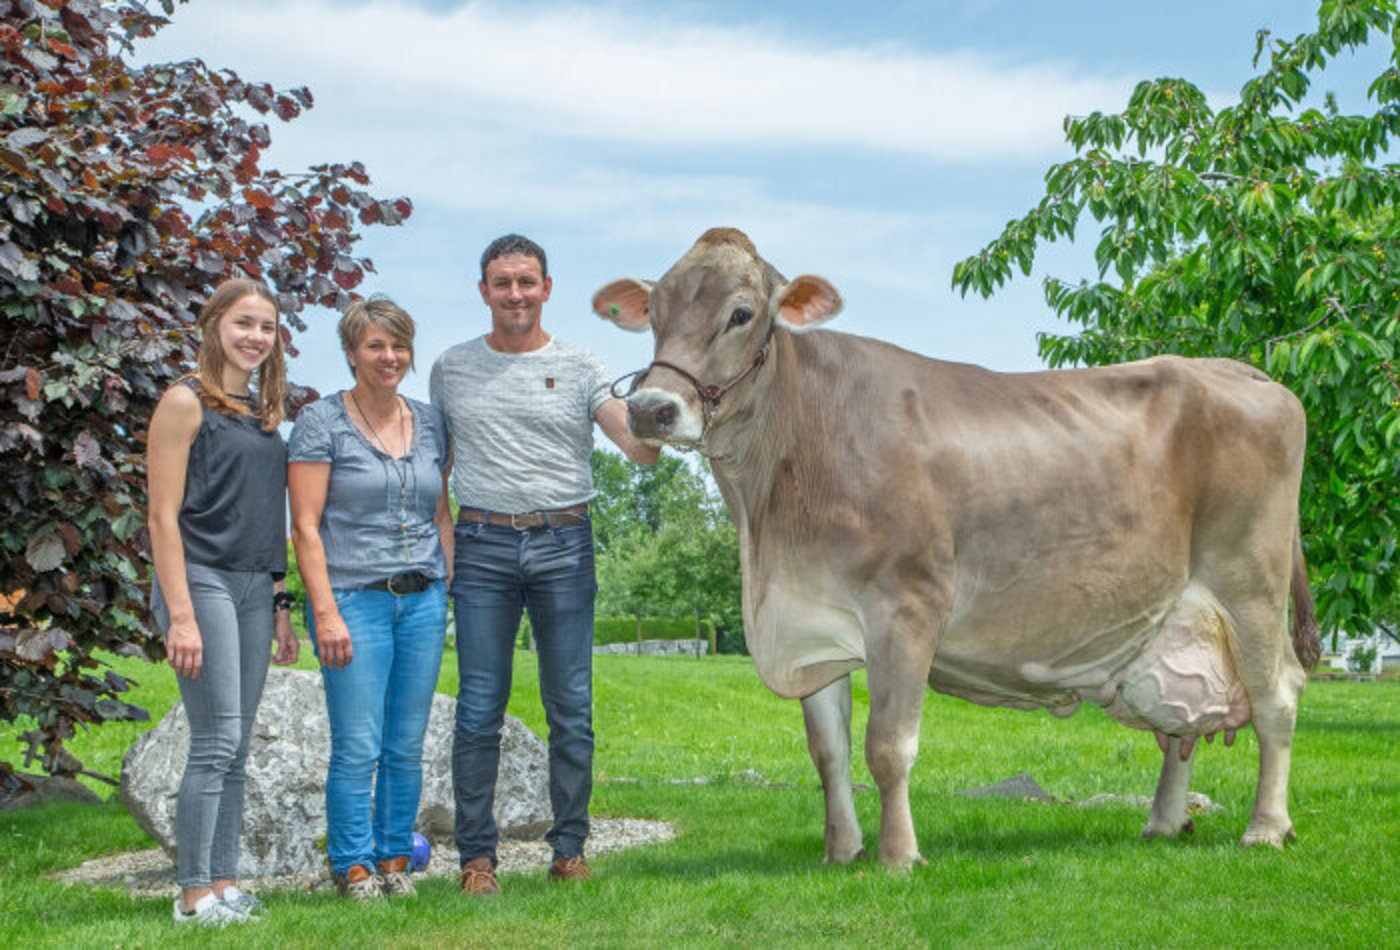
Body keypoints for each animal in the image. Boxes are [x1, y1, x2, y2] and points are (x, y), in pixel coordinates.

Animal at [593, 227, 1320, 868]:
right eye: (654, 311)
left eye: (741, 313)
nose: (651, 409)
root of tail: (1247, 374)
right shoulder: (815, 624)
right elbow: (828, 752)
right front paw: (842, 851)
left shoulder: (907, 607)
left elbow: (888, 746)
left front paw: (899, 855)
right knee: (1178, 728)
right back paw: (1163, 824)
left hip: (1250, 583)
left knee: (1279, 695)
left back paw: (1266, 828)